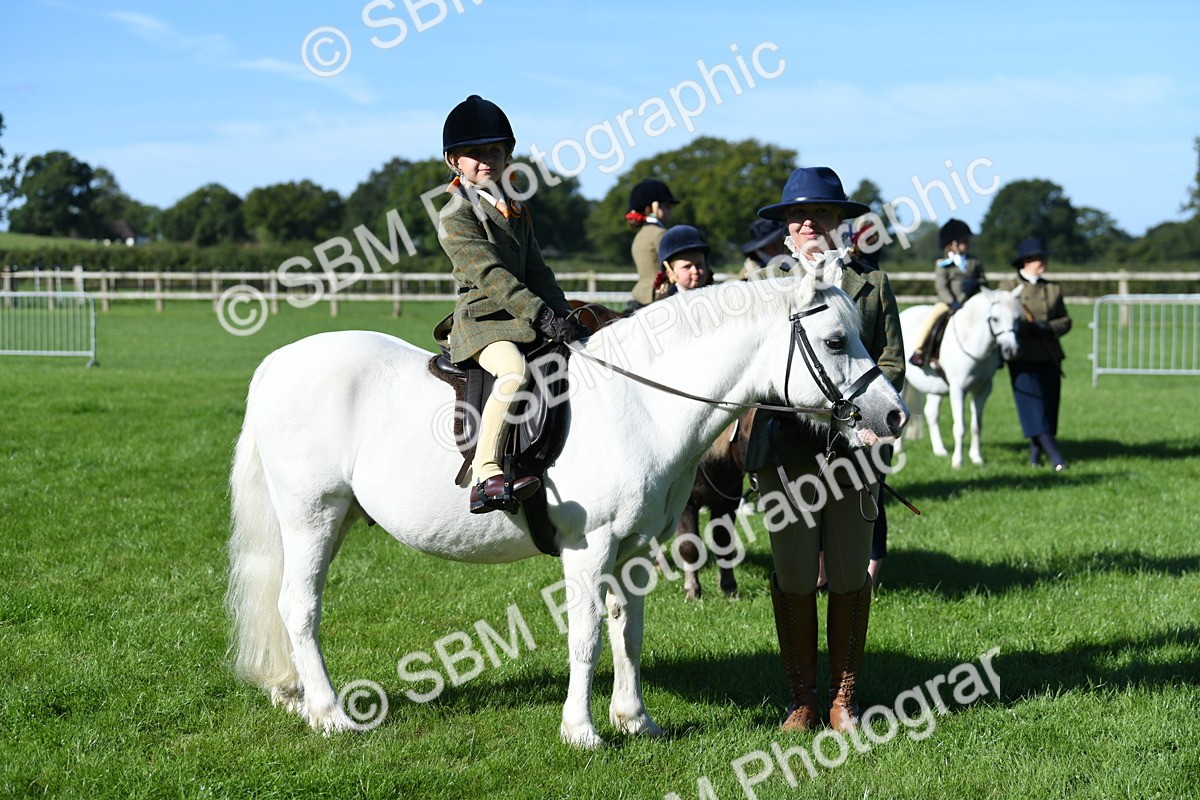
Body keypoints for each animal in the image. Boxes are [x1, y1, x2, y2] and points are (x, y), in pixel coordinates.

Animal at [225, 269, 908, 749]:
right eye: (835, 340)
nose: (895, 414)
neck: (638, 402)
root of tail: (275, 363)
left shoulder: (634, 550)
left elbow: (628, 631)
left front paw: (634, 720)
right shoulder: (589, 548)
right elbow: (587, 637)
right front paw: (581, 731)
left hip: (332, 518)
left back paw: (299, 697)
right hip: (312, 516)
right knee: (299, 607)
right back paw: (329, 714)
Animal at [896, 287, 1024, 468]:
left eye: (1018, 319)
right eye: (995, 319)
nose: (1011, 350)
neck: (971, 342)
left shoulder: (983, 390)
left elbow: (977, 426)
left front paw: (977, 458)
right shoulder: (958, 390)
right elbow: (960, 427)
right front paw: (958, 461)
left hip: (936, 388)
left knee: (931, 413)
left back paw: (940, 450)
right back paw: (898, 449)